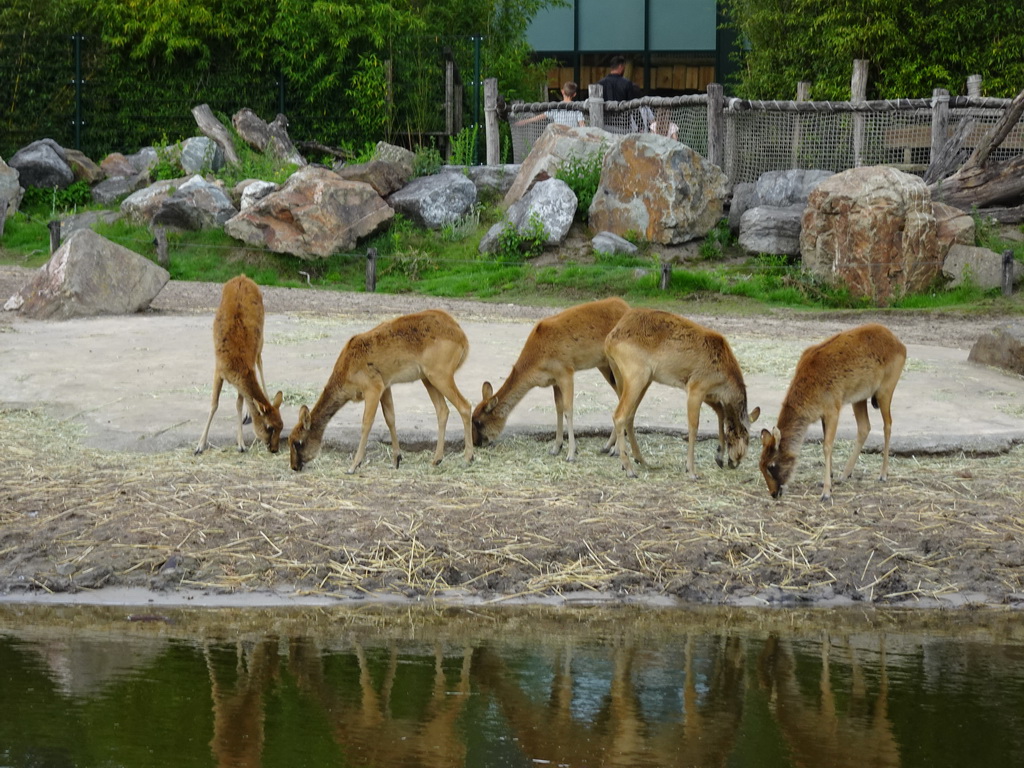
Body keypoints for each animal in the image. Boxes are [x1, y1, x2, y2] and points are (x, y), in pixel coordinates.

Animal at [194, 276, 284, 456]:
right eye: (269, 427)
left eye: (281, 426)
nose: (275, 449)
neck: (235, 365)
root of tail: (242, 277)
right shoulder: (218, 369)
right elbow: (214, 404)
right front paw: (199, 445)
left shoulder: (245, 369)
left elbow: (238, 404)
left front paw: (241, 444)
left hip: (261, 337)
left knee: (260, 361)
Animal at [288, 309, 475, 473]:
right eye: (289, 439)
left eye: (298, 442)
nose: (294, 466)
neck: (345, 371)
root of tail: (462, 337)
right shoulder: (386, 386)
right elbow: (390, 418)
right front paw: (396, 459)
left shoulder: (373, 387)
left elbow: (366, 423)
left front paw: (354, 465)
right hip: (427, 378)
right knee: (443, 410)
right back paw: (436, 459)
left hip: (439, 374)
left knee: (465, 406)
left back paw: (468, 458)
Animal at [473, 296, 630, 460]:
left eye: (478, 422)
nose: (476, 442)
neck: (536, 362)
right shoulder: (554, 380)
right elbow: (558, 408)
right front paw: (556, 448)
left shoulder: (565, 371)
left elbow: (568, 410)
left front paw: (571, 454)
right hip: (604, 365)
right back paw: (607, 446)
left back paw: (616, 450)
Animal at [598, 309, 761, 479]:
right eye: (745, 436)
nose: (736, 461)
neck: (725, 370)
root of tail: (610, 338)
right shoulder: (696, 388)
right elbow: (694, 427)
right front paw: (691, 471)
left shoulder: (707, 394)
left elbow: (721, 413)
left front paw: (719, 457)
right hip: (637, 377)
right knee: (619, 415)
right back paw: (629, 468)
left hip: (639, 380)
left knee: (630, 416)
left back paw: (641, 460)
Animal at [757, 321, 909, 501]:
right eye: (760, 464)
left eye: (771, 465)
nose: (774, 493)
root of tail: (902, 346)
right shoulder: (824, 413)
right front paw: (827, 479)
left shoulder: (833, 409)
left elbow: (827, 446)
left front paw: (826, 492)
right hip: (859, 397)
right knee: (865, 427)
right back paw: (845, 474)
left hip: (885, 389)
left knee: (888, 425)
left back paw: (883, 474)